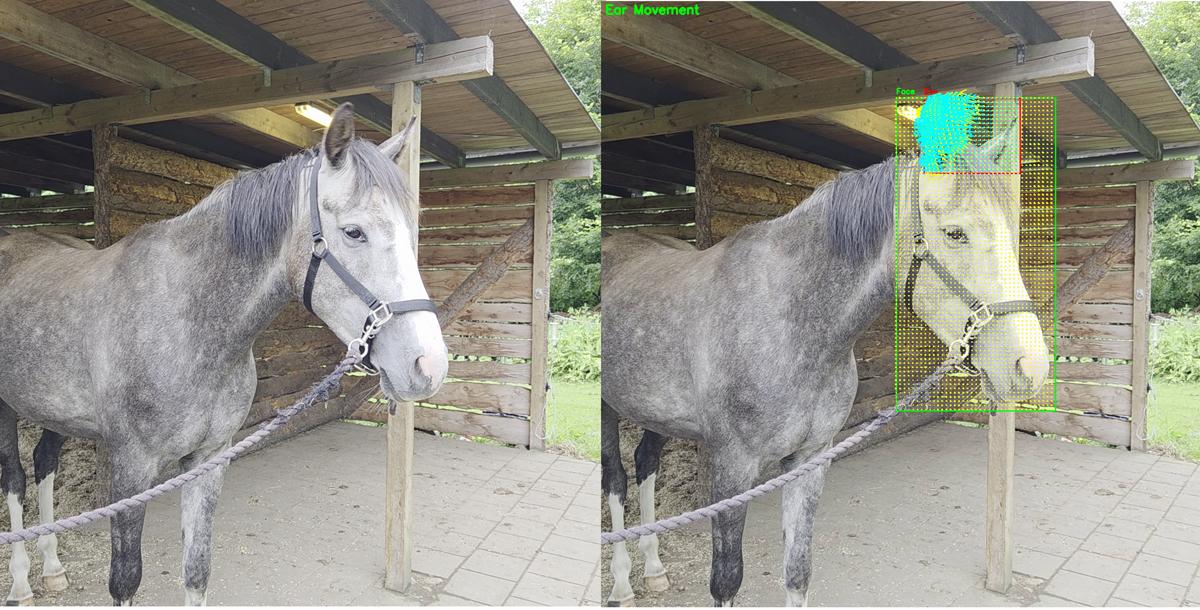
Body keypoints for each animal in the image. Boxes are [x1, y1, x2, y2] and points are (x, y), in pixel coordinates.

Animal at [0, 103, 448, 605]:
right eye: (354, 232)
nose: (429, 366)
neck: (187, 319)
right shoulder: (131, 467)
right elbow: (125, 578)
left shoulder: (209, 459)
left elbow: (197, 570)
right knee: (15, 479)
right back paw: (21, 583)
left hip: (52, 409)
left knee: (44, 464)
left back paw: (53, 568)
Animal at [600, 121, 1049, 606]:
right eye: (955, 233)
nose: (1031, 367)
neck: (791, 318)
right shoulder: (732, 467)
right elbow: (726, 578)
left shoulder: (811, 459)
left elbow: (798, 571)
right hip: (609, 409)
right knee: (615, 479)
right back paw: (622, 584)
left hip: (656, 412)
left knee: (645, 464)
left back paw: (654, 569)